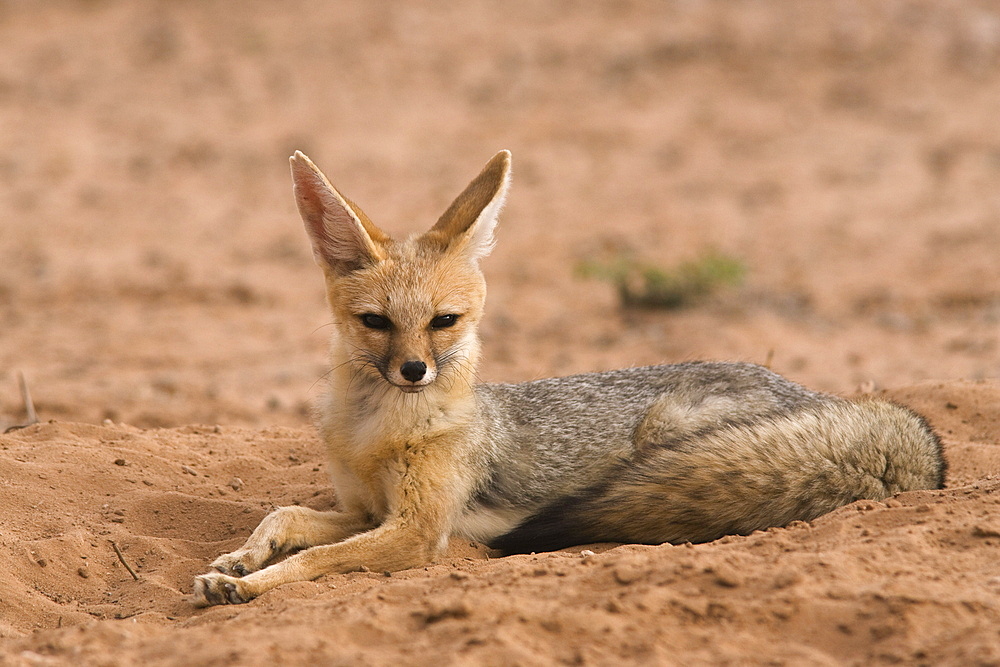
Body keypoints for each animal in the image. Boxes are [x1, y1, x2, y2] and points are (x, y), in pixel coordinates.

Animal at [193, 150, 944, 604]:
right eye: (376, 321)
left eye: (443, 321)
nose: (413, 370)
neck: (373, 432)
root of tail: (831, 400)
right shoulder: (364, 510)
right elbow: (285, 514)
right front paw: (241, 558)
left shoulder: (416, 531)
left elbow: (315, 561)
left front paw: (253, 584)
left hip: (667, 431)